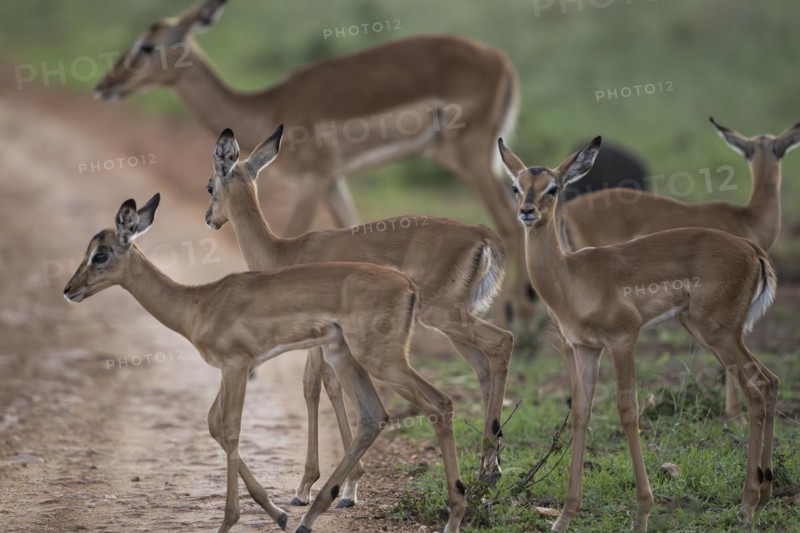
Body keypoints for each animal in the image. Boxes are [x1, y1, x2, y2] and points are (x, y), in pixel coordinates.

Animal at [63, 194, 467, 533]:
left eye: (100, 254)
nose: (69, 289)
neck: (198, 304)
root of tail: (408, 285)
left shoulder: (236, 366)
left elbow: (230, 429)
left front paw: (230, 521)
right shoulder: (229, 370)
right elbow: (213, 423)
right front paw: (278, 513)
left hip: (381, 359)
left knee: (439, 403)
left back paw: (453, 517)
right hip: (345, 356)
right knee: (374, 416)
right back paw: (311, 515)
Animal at [93, 0, 535, 322]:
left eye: (147, 45)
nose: (104, 85)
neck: (268, 107)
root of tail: (502, 61)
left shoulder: (314, 178)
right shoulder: (334, 180)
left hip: (470, 155)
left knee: (510, 221)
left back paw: (519, 314)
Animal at [205, 124, 513, 507]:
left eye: (210, 185)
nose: (210, 219)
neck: (282, 253)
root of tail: (482, 235)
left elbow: (314, 387)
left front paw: (310, 488)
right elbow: (328, 387)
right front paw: (344, 486)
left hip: (443, 316)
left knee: (502, 342)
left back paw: (488, 473)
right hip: (453, 324)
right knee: (484, 367)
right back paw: (489, 471)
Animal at [498, 137, 779, 531]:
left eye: (552, 188)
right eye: (516, 186)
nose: (527, 211)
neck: (572, 277)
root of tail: (753, 250)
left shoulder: (622, 341)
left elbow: (627, 410)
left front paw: (643, 511)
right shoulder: (585, 349)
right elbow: (581, 411)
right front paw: (565, 516)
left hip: (720, 335)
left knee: (754, 391)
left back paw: (747, 505)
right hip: (715, 333)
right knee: (769, 381)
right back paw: (763, 495)